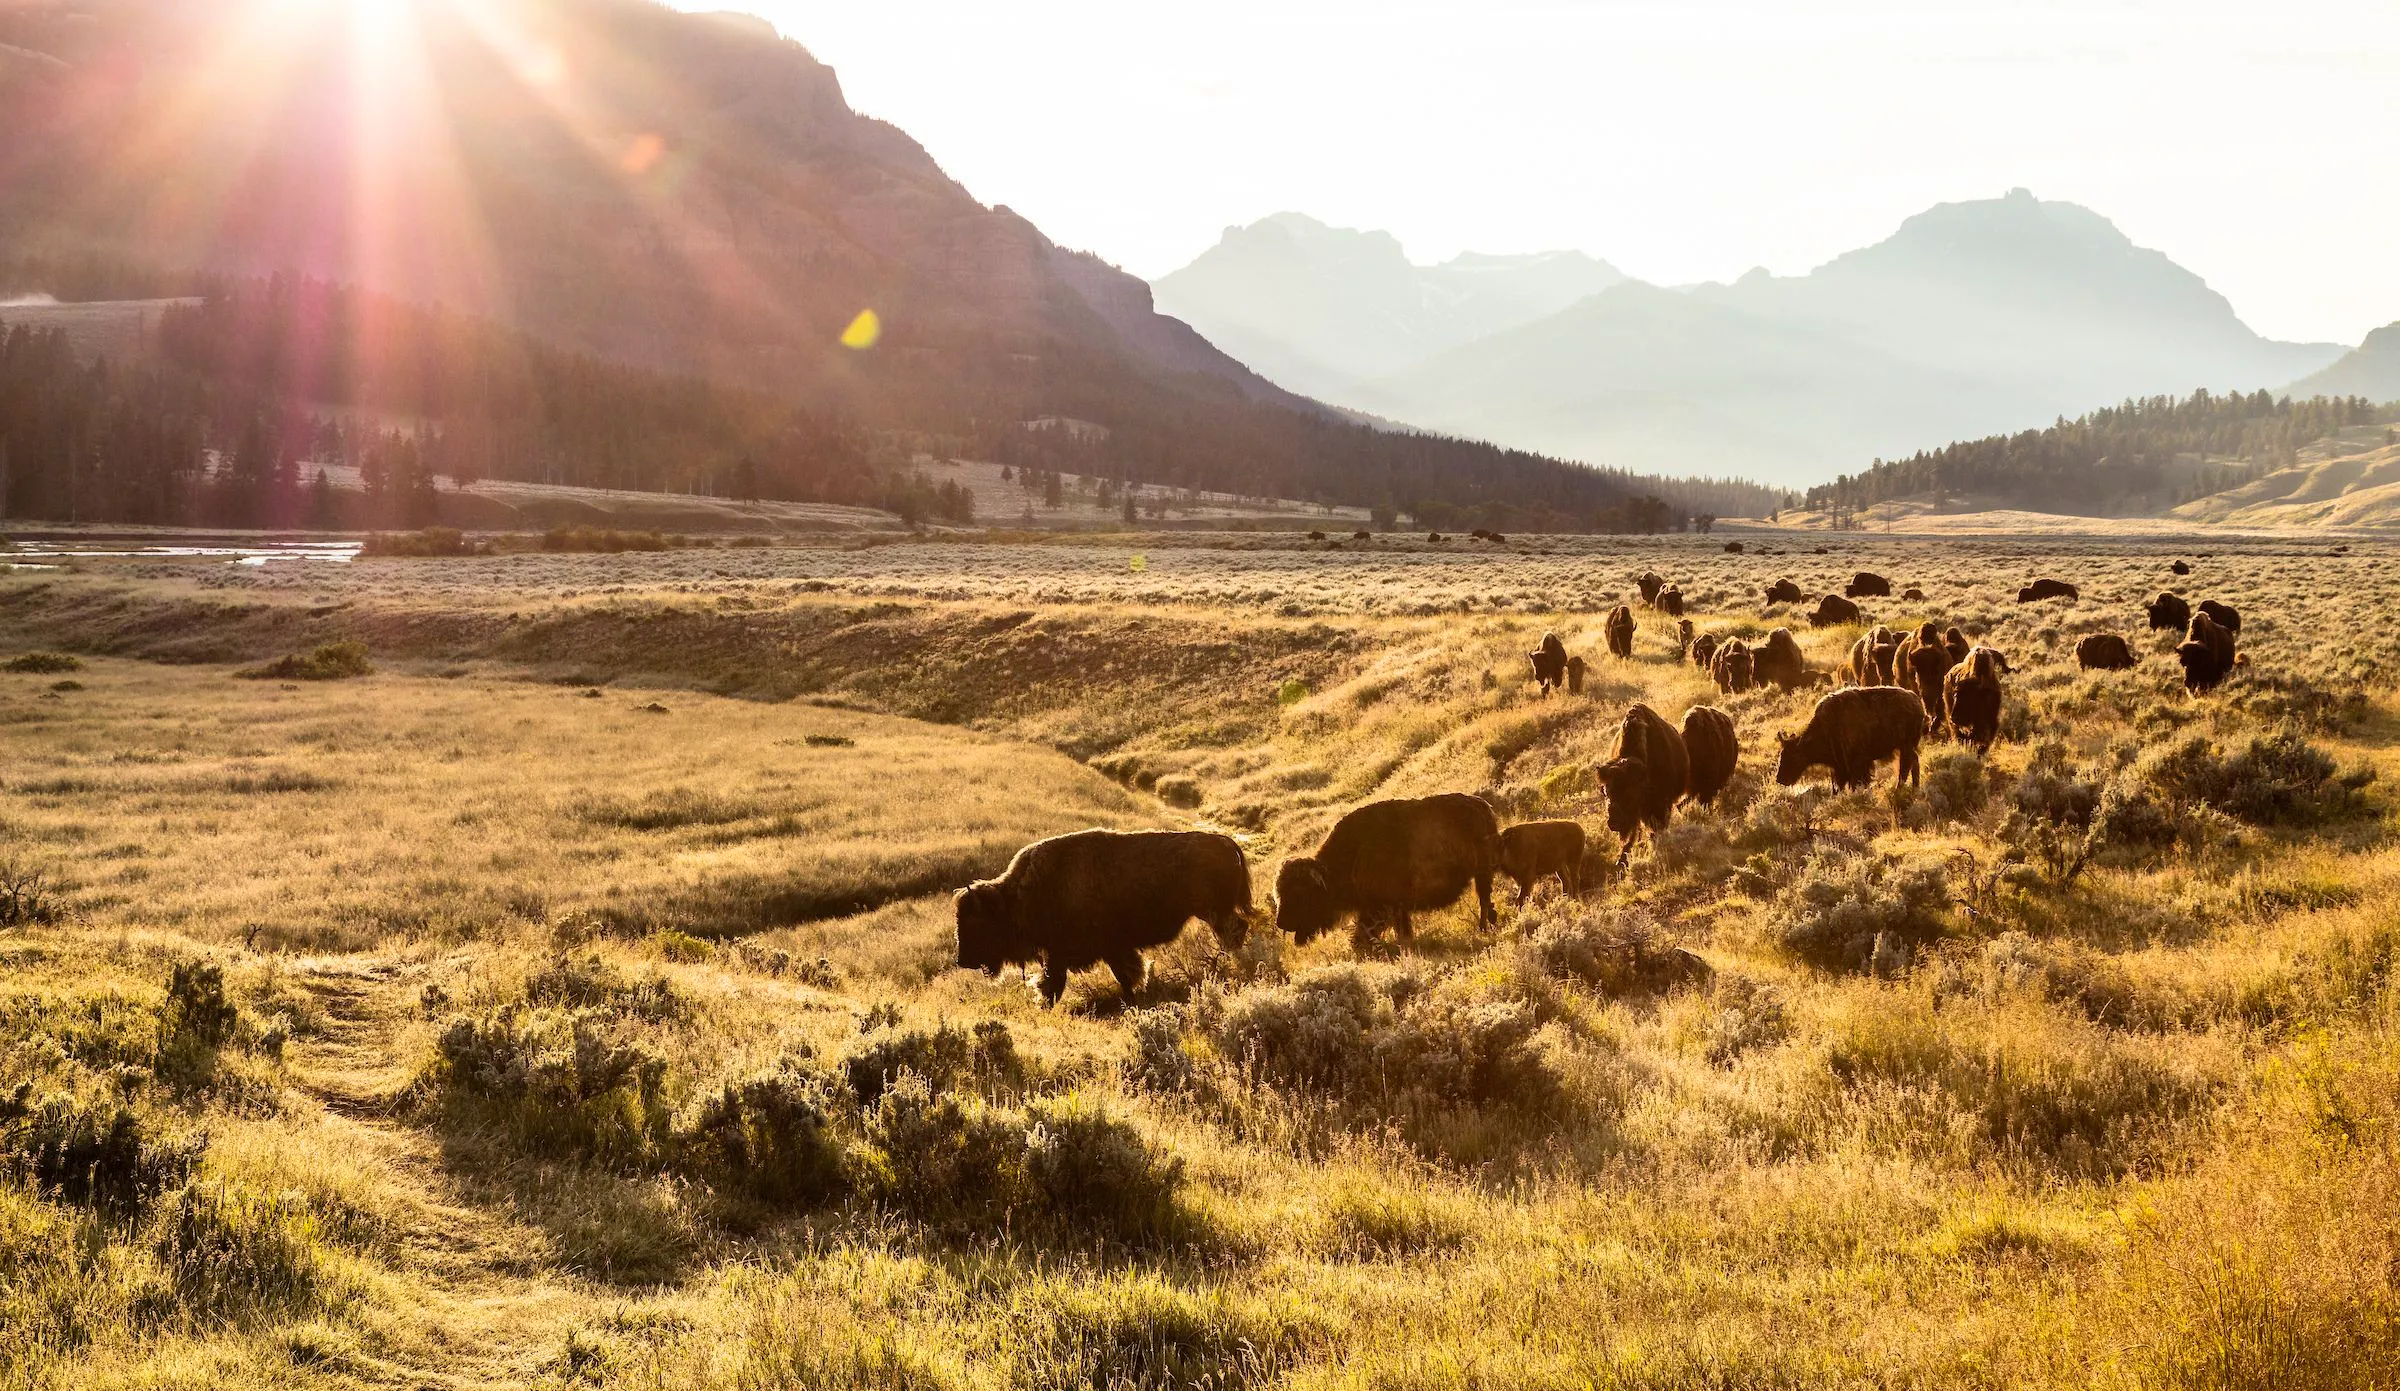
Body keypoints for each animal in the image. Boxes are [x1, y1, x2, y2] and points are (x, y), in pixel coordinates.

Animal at [957, 830, 1252, 1006]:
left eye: (977, 924)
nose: (962, 960)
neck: (1018, 897)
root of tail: (1225, 841)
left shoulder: (1077, 951)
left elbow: (1057, 982)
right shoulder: (1104, 950)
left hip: (1214, 912)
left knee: (1235, 931)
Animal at [1275, 794, 1502, 945]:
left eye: (1300, 893)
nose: (1281, 923)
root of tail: (1483, 806)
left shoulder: (1380, 906)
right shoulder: (1396, 906)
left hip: (1482, 873)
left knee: (1483, 899)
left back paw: (1484, 928)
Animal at [1776, 687, 1925, 790]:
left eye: (1793, 756)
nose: (1780, 779)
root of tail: (1917, 702)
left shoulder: (1857, 763)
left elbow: (1856, 783)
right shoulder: (1840, 766)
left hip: (1905, 745)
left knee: (1906, 766)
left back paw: (1899, 789)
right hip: (1905, 746)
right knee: (1913, 762)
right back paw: (1914, 788)